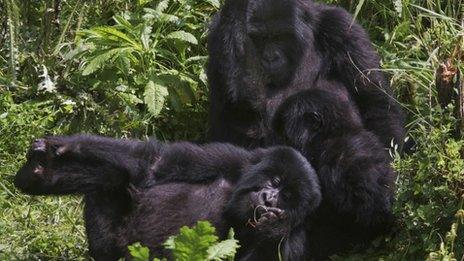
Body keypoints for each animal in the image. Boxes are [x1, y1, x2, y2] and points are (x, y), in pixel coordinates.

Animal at [13, 135, 320, 258]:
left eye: (287, 197)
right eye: (276, 181)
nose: (269, 198)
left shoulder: (295, 243)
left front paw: (273, 226)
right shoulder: (232, 159)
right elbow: (154, 163)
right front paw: (64, 146)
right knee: (111, 179)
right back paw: (38, 171)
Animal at [208, 0, 404, 148]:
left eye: (281, 36)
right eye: (260, 38)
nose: (270, 58)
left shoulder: (342, 27)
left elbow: (373, 99)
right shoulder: (218, 33)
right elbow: (237, 113)